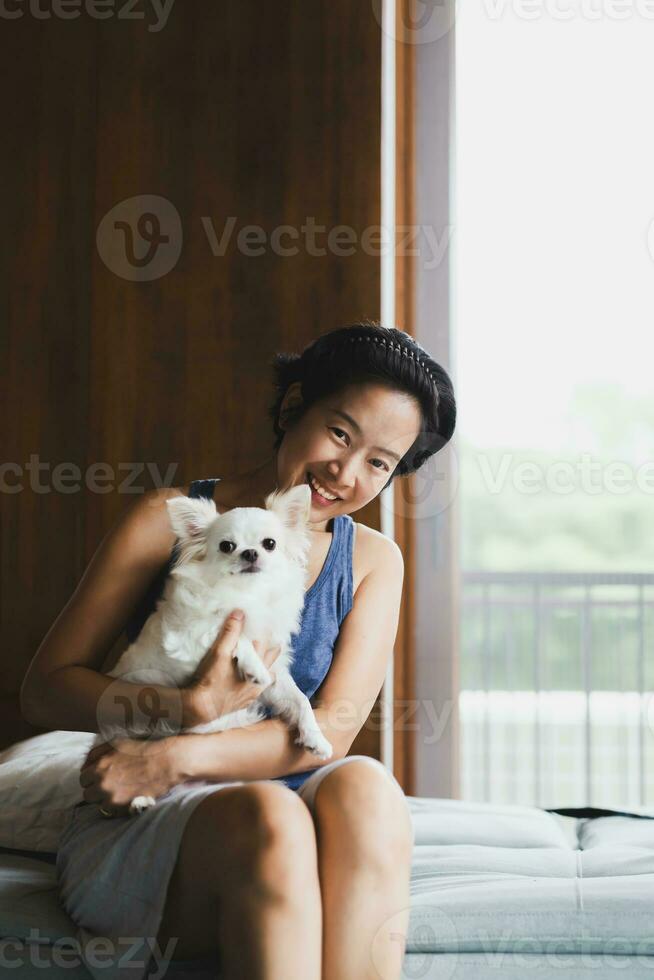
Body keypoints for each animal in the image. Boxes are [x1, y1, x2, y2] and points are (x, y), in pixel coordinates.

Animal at [96, 482, 334, 812]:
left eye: (269, 544)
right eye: (226, 546)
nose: (250, 552)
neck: (247, 594)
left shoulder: (278, 675)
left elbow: (299, 700)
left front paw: (315, 737)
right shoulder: (187, 636)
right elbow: (234, 633)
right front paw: (253, 666)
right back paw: (139, 798)